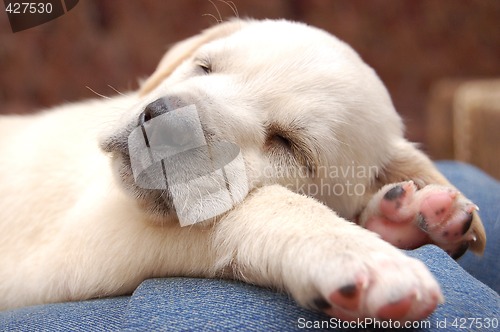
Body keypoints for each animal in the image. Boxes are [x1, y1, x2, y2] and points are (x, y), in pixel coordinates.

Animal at [0, 18, 486, 322]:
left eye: (288, 145)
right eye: (203, 66)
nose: (164, 121)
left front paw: (404, 219)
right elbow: (262, 205)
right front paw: (359, 252)